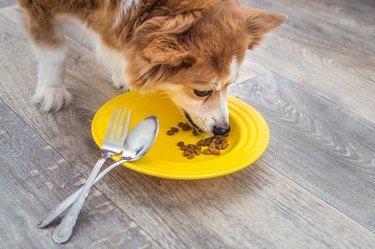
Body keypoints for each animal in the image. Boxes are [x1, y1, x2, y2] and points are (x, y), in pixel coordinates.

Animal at [19, 0, 286, 135]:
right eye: (201, 91)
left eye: (231, 85)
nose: (224, 130)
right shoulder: (41, 8)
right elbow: (55, 51)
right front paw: (52, 90)